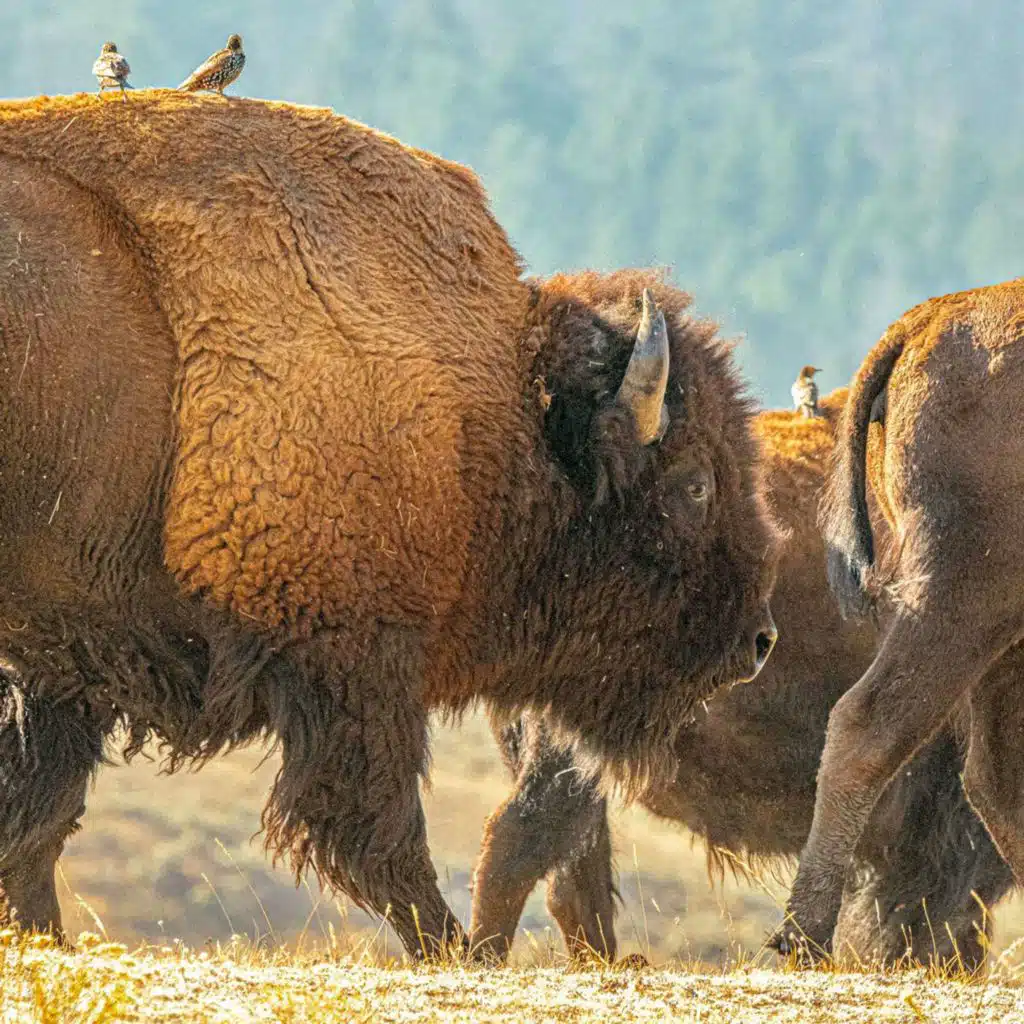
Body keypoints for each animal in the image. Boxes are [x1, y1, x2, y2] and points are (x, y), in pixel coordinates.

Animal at [0, 94, 778, 956]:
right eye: (695, 483)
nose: (759, 640)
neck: (492, 409)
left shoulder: (60, 653)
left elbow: (34, 817)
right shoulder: (356, 657)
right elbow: (378, 835)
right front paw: (456, 950)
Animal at [776, 278, 1024, 960]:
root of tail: (926, 319)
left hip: (997, 631)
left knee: (994, 775)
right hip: (962, 598)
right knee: (869, 723)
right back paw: (803, 936)